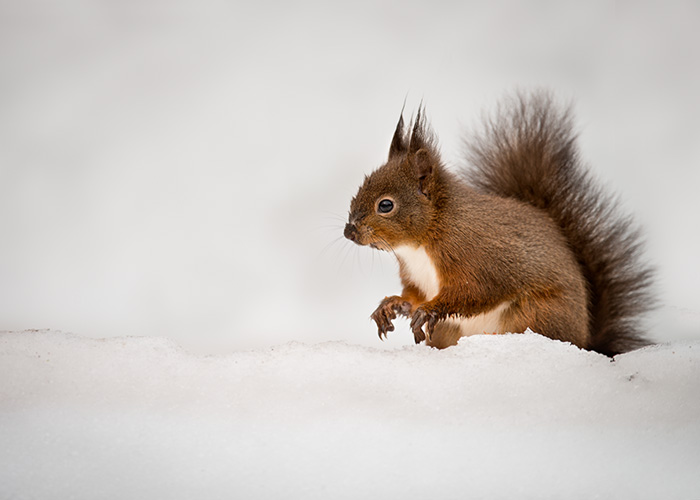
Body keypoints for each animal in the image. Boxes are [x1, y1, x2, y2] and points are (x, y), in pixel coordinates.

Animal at [344, 91, 654, 356]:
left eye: (386, 205)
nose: (349, 232)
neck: (422, 242)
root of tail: (587, 343)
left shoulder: (475, 258)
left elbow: (476, 291)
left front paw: (430, 310)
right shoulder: (415, 276)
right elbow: (413, 295)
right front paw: (391, 305)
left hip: (536, 314)